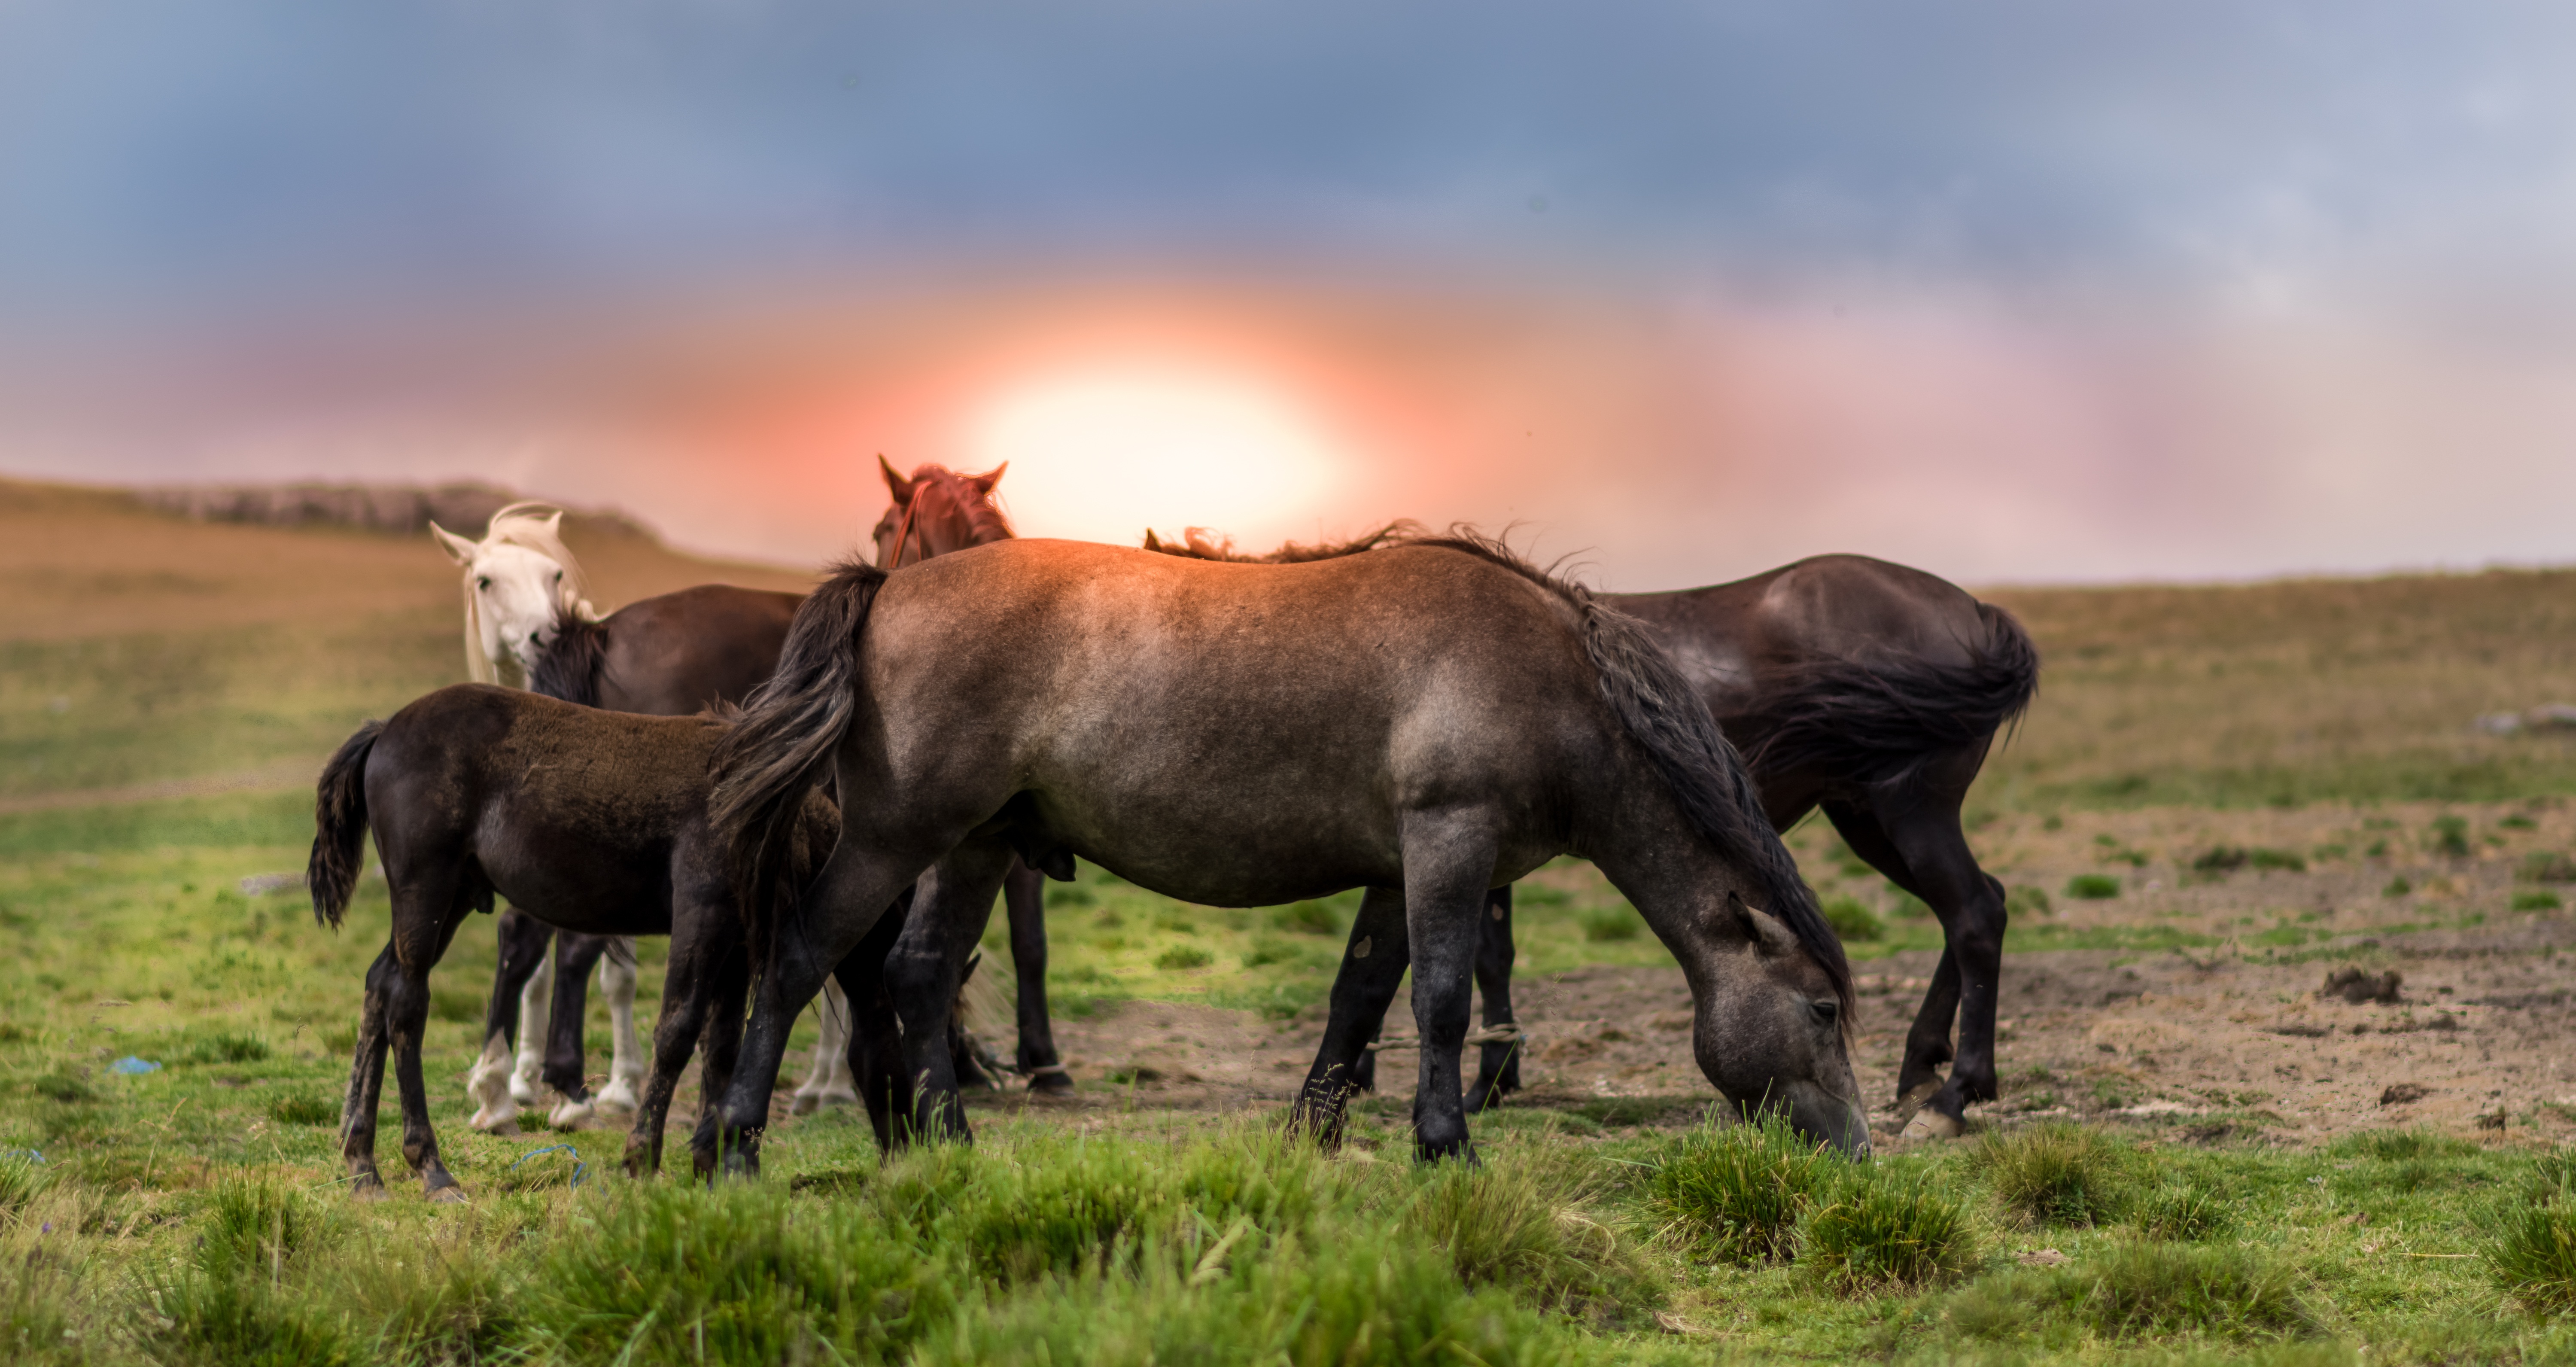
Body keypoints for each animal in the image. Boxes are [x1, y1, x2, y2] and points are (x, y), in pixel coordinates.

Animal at [706, 535, 1875, 1179]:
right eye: (1821, 1008)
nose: (1861, 1151)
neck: (1549, 681)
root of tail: (885, 588)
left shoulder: (1401, 872)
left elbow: (1358, 999)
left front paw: (1314, 1138)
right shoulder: (1449, 843)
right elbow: (1441, 1002)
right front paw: (1447, 1144)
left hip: (980, 844)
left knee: (917, 972)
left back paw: (947, 1142)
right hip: (896, 838)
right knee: (799, 956)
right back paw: (733, 1144)